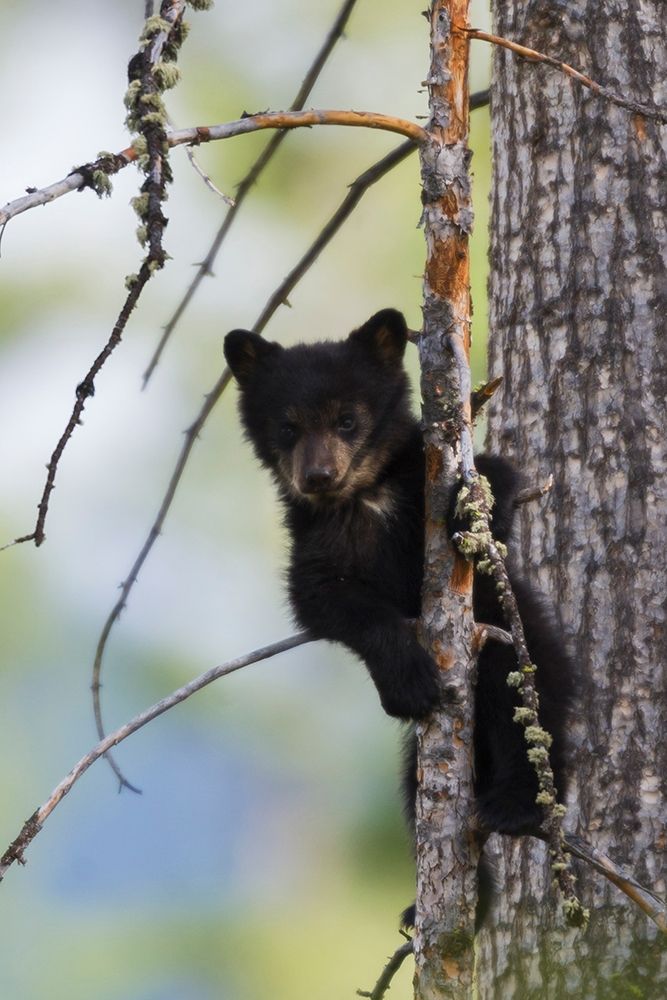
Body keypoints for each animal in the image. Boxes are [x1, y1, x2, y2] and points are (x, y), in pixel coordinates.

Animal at [223, 308, 574, 916]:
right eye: (287, 427)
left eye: (347, 419)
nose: (318, 477)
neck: (367, 497)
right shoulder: (316, 547)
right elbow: (326, 602)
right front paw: (408, 682)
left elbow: (496, 475)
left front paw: (473, 516)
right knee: (415, 792)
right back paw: (459, 901)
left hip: (525, 651)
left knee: (531, 715)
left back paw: (514, 806)